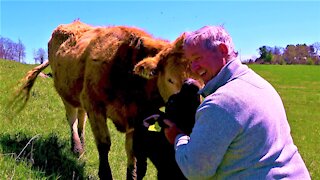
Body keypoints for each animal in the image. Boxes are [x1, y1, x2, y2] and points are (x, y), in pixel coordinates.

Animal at [13, 20, 169, 179]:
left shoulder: (136, 116)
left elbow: (132, 151)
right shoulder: (95, 107)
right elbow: (104, 144)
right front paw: (105, 174)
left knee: (81, 120)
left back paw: (82, 146)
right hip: (66, 94)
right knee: (72, 120)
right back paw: (77, 149)